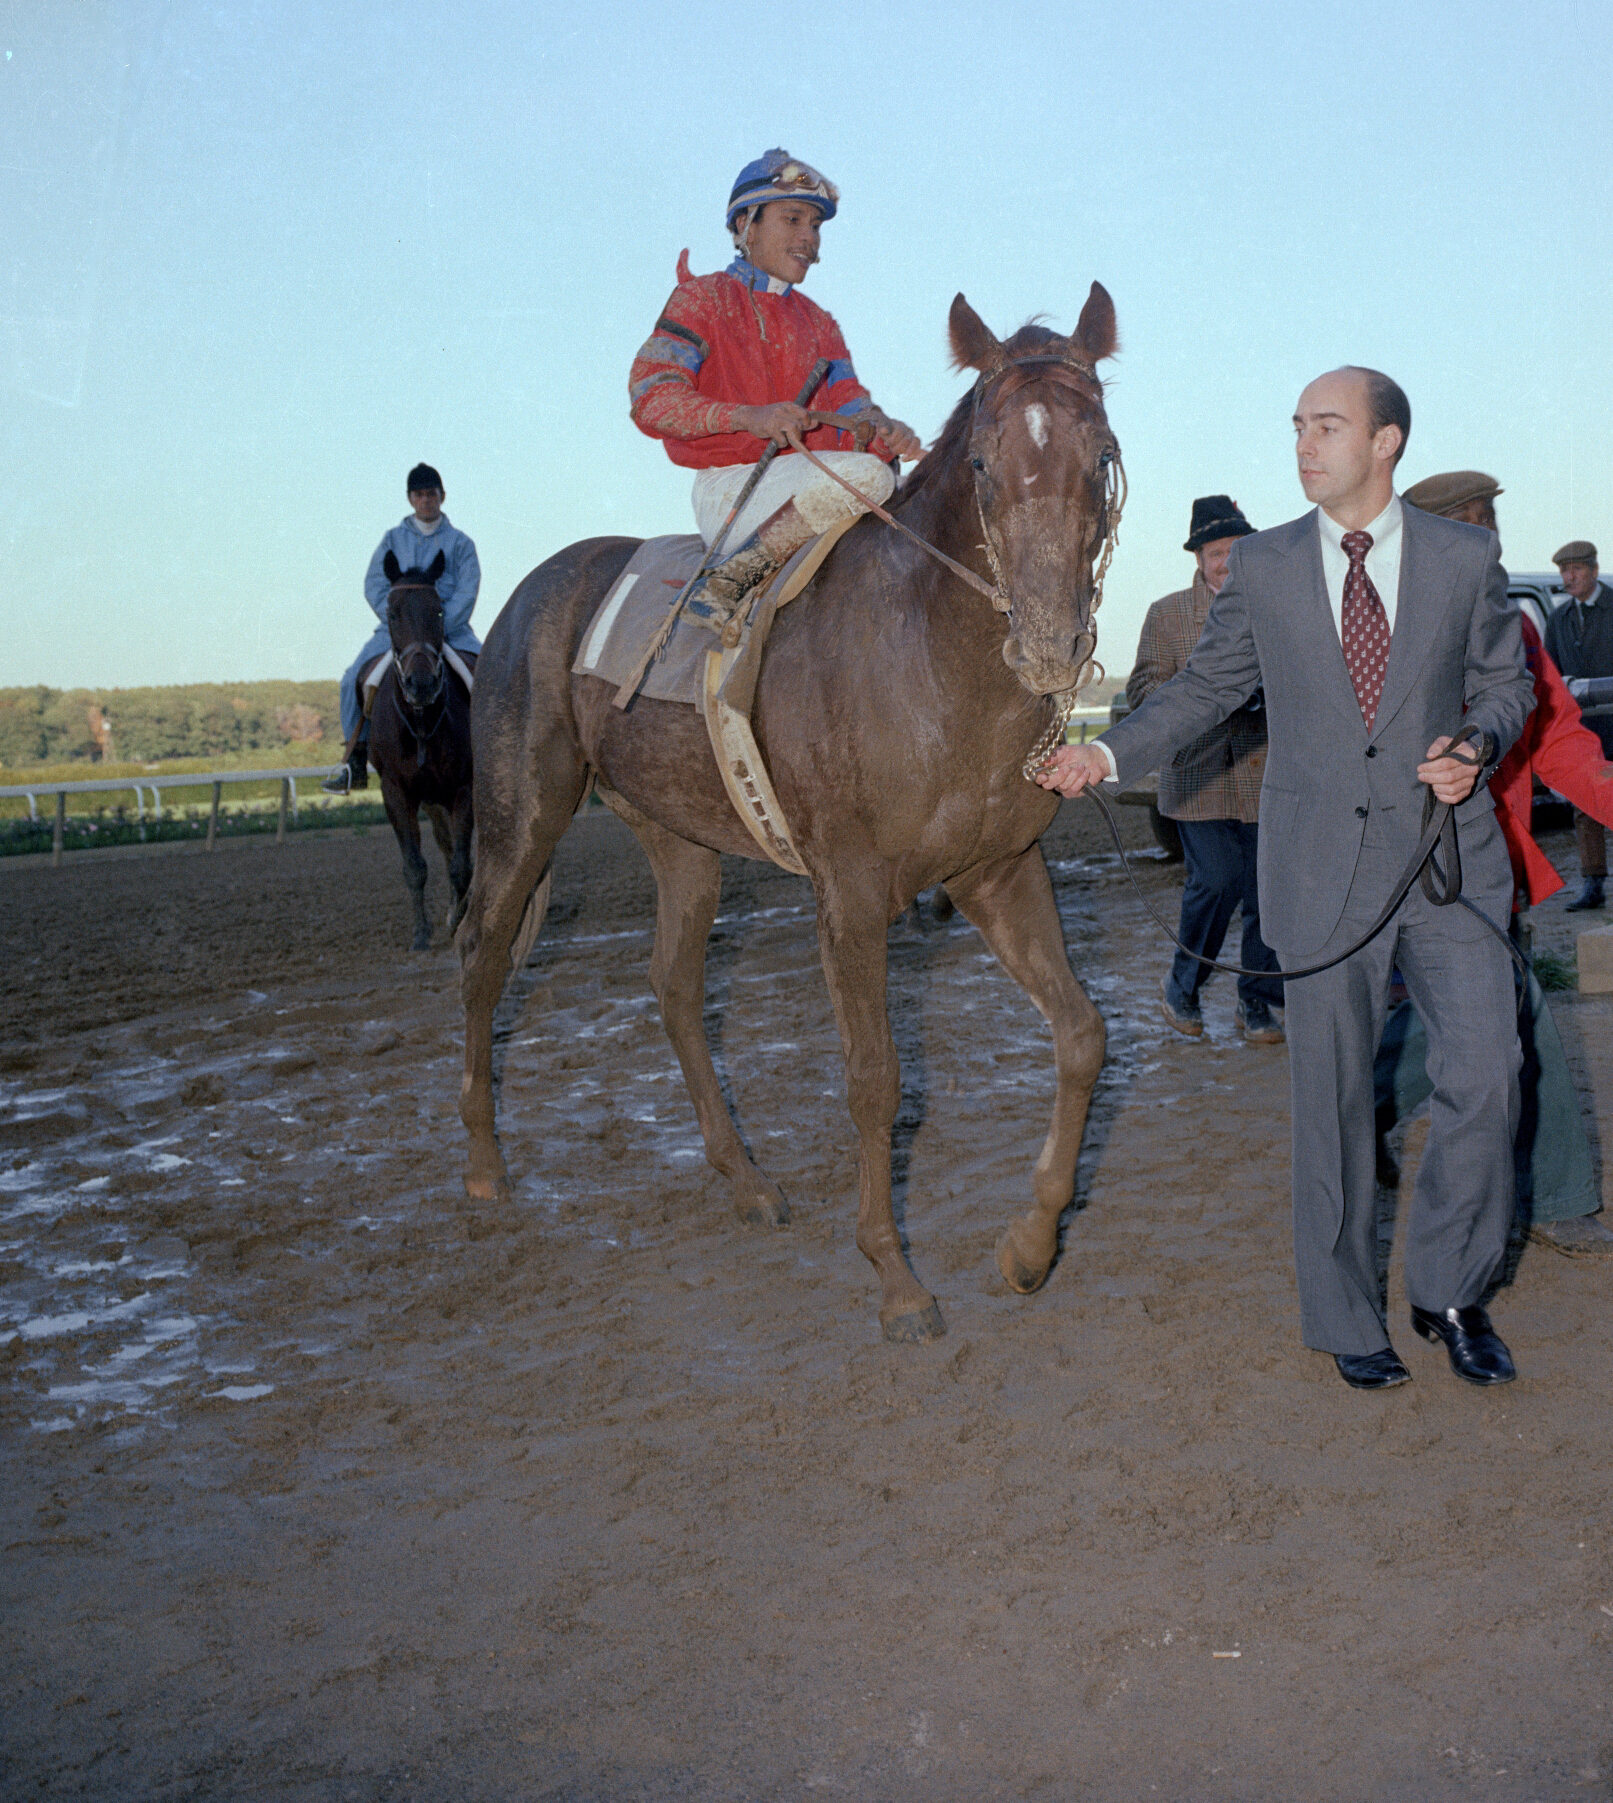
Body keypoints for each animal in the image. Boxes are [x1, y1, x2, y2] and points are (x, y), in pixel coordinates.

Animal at [362, 548, 468, 951]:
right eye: (392, 612)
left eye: (438, 610)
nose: (421, 683)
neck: (422, 724)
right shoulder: (396, 791)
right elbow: (415, 865)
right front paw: (422, 932)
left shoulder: (464, 788)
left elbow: (461, 864)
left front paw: (461, 921)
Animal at [446, 292, 1117, 1341]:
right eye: (981, 461)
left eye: (1100, 452)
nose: (1050, 645)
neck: (927, 653)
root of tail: (539, 584)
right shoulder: (848, 894)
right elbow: (875, 1078)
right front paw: (894, 1278)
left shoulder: (997, 870)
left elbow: (1082, 1035)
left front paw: (1027, 1247)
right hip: (524, 812)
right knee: (483, 958)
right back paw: (483, 1165)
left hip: (677, 835)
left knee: (675, 984)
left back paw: (747, 1180)